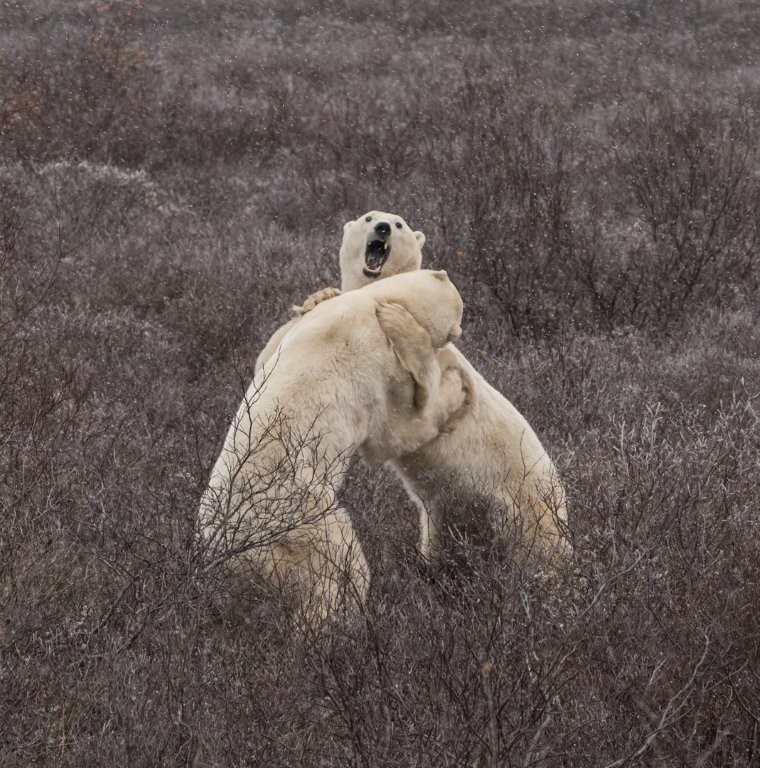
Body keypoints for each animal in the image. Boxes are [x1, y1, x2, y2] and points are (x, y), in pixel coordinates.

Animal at [199, 270, 469, 622]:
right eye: (461, 311)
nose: (461, 330)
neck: (370, 301)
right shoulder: (382, 366)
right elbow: (396, 434)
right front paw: (455, 386)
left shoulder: (305, 331)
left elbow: (265, 355)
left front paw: (319, 295)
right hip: (301, 517)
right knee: (340, 563)